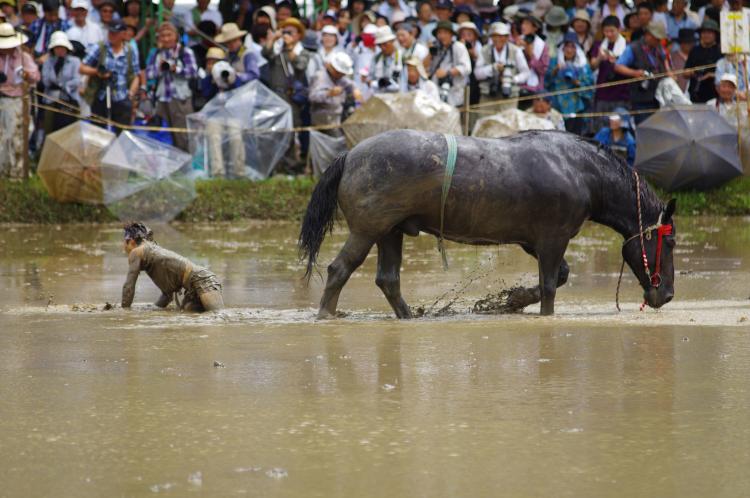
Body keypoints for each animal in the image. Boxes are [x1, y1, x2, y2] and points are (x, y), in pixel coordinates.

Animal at [302, 130, 680, 318]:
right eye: (672, 241)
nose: (667, 294)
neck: (581, 171)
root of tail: (349, 155)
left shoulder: (534, 242)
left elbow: (557, 277)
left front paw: (512, 300)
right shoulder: (553, 238)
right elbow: (549, 286)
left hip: (391, 232)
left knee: (388, 280)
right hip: (367, 231)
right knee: (339, 269)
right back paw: (326, 315)